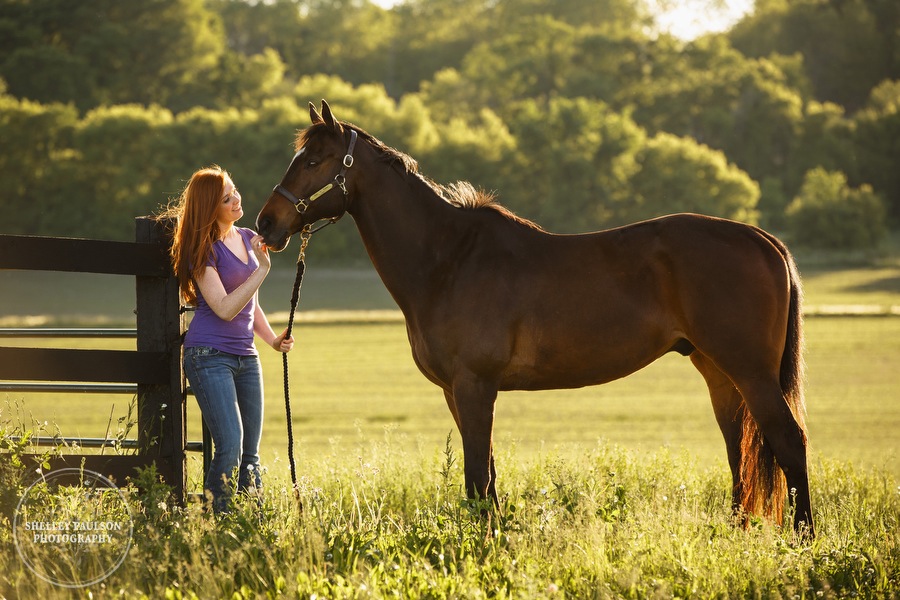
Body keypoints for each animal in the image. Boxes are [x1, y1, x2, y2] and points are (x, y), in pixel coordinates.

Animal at [255, 101, 816, 536]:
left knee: (789, 442)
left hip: (750, 373)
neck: (449, 259)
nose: (265, 223)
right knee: (740, 449)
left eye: (315, 160)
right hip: (719, 373)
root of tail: (761, 239)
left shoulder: (475, 386)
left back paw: (804, 541)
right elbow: (486, 478)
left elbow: (477, 477)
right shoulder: (457, 391)